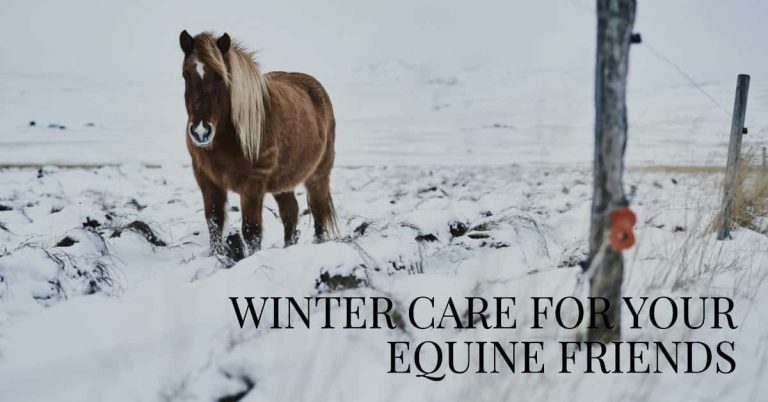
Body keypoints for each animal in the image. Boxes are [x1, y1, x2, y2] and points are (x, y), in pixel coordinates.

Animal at [179, 30, 338, 256]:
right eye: (186, 75)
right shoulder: (206, 180)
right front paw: (216, 257)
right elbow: (214, 223)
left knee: (318, 213)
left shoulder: (253, 183)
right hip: (283, 182)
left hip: (318, 175)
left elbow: (251, 231)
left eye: (220, 76)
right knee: (291, 212)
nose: (201, 132)